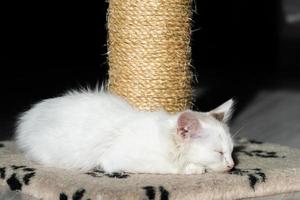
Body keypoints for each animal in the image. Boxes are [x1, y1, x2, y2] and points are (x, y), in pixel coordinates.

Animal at [15, 88, 236, 174]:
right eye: (218, 152)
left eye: (232, 151)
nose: (232, 165)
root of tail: (28, 117)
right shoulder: (115, 159)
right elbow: (166, 166)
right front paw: (193, 168)